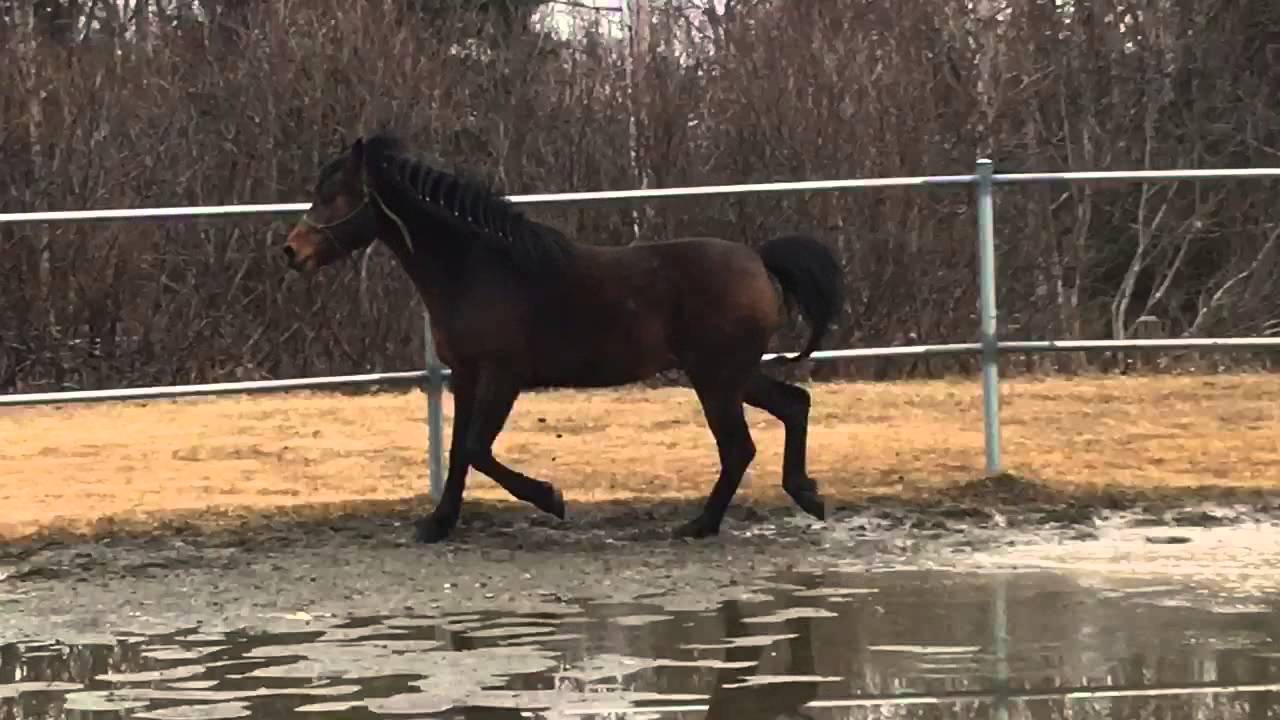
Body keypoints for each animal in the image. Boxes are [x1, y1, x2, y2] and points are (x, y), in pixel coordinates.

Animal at [282, 134, 843, 543]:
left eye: (335, 194)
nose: (292, 252)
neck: (480, 268)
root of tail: (758, 259)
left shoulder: (503, 375)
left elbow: (477, 448)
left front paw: (551, 499)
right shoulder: (466, 373)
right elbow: (461, 449)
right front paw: (438, 523)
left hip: (716, 378)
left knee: (739, 446)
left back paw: (701, 525)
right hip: (731, 373)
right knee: (793, 405)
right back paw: (806, 495)